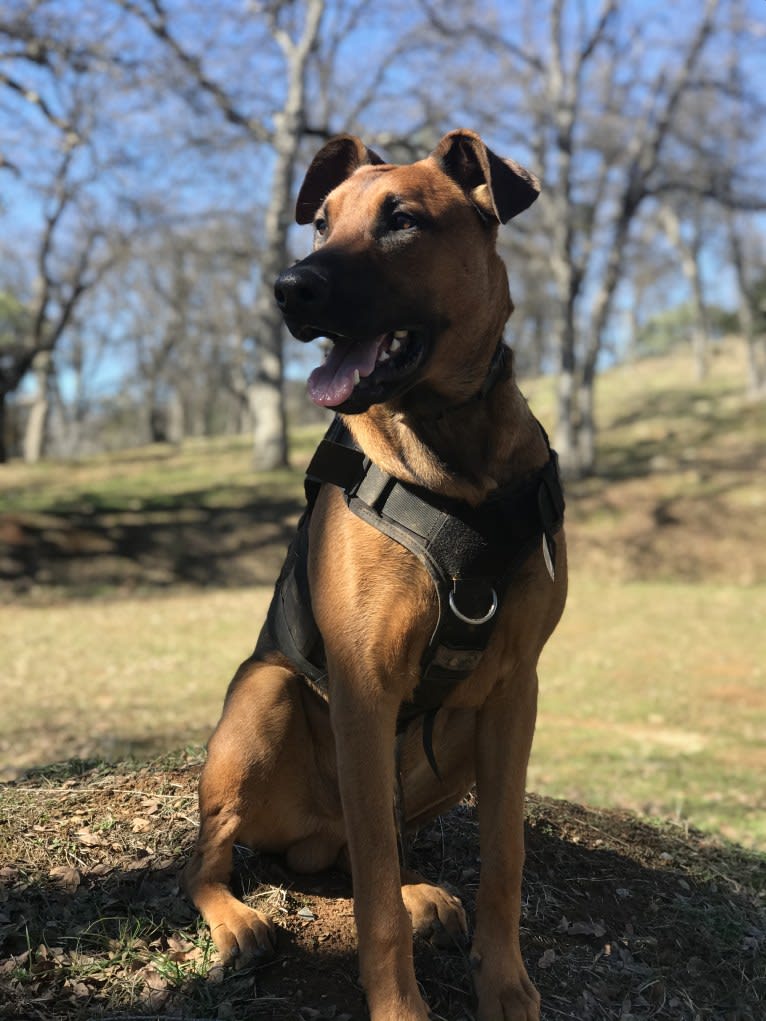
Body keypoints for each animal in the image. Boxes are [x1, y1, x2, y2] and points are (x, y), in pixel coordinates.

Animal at [184, 129, 571, 1021]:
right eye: (322, 222)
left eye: (403, 220)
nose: (291, 287)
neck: (450, 451)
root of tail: (310, 829)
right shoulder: (364, 685)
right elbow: (374, 902)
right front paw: (399, 1005)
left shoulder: (517, 690)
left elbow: (505, 855)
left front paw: (504, 981)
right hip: (263, 700)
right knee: (220, 861)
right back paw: (238, 920)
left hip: (451, 745)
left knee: (360, 857)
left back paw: (420, 891)